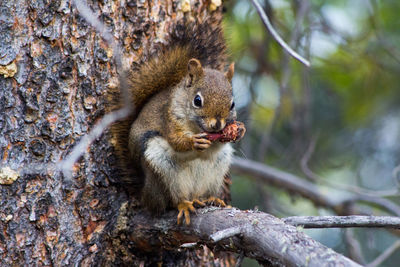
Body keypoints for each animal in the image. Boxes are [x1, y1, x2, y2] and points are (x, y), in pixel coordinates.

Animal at [108, 17, 245, 225]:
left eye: (232, 104)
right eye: (197, 100)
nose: (217, 125)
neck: (196, 126)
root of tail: (144, 195)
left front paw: (240, 129)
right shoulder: (169, 117)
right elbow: (175, 140)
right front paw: (194, 142)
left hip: (217, 169)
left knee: (201, 194)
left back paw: (211, 199)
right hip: (161, 169)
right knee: (170, 201)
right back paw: (184, 204)